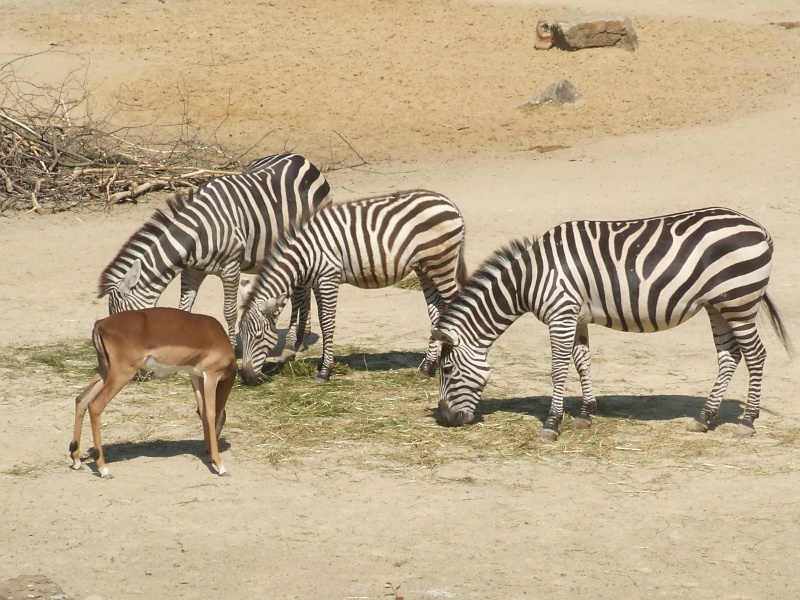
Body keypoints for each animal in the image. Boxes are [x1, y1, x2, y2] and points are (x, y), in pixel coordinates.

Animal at [97, 152, 330, 346]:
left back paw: (295, 339)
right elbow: (184, 310)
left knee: (303, 290)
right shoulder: (192, 272)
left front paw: (233, 348)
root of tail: (300, 158)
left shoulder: (231, 267)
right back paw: (302, 334)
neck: (198, 232)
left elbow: (229, 312)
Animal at [238, 189, 467, 384]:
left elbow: (327, 323)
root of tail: (451, 204)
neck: (305, 253)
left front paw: (324, 372)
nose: (246, 378)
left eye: (258, 336)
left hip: (442, 263)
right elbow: (323, 321)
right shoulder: (318, 282)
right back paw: (427, 368)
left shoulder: (328, 277)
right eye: (243, 335)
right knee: (436, 311)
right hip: (426, 267)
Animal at [432, 207, 792, 441]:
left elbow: (558, 369)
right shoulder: (576, 317)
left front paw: (551, 424)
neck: (529, 278)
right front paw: (585, 413)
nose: (447, 420)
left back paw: (747, 422)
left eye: (446, 370)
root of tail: (759, 229)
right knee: (730, 356)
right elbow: (582, 362)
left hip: (739, 302)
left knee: (756, 355)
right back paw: (703, 419)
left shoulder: (560, 314)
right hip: (719, 305)